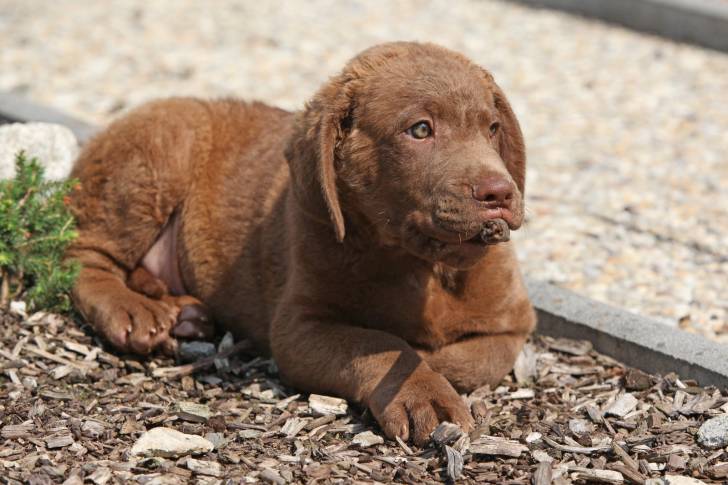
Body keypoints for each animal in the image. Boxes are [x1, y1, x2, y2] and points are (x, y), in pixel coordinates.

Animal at [68, 41, 536, 442]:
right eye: (420, 130)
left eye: (493, 129)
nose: (499, 193)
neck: (422, 266)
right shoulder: (299, 327)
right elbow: (378, 344)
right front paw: (423, 388)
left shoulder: (513, 324)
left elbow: (475, 361)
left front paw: (427, 363)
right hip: (158, 156)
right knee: (85, 256)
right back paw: (131, 310)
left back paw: (185, 317)